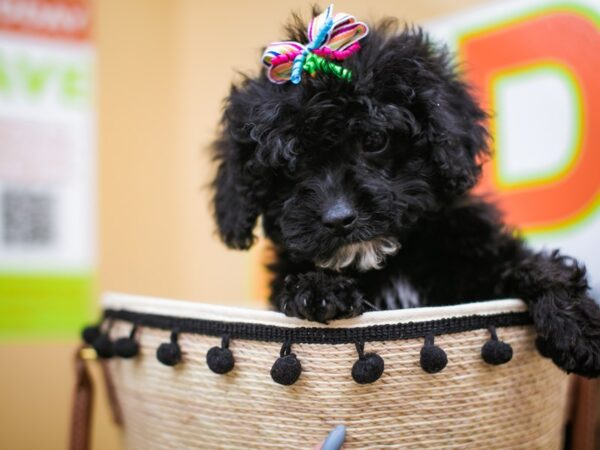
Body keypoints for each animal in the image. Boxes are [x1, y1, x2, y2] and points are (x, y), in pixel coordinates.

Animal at [211, 14, 600, 376]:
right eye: (290, 167)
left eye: (374, 141)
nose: (339, 218)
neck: (388, 260)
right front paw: (320, 288)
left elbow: (531, 264)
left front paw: (577, 327)